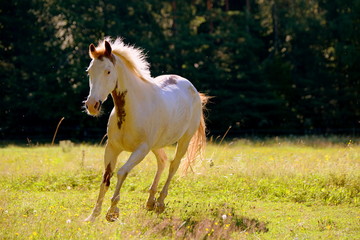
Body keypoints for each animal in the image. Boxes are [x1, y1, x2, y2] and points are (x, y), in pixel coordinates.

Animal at [84, 37, 207, 223]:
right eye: (89, 72)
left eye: (108, 71)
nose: (92, 105)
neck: (132, 110)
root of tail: (192, 88)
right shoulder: (112, 148)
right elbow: (105, 179)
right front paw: (93, 215)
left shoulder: (141, 150)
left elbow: (122, 172)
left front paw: (112, 212)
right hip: (156, 145)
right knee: (162, 161)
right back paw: (150, 202)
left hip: (184, 140)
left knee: (173, 166)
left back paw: (160, 203)